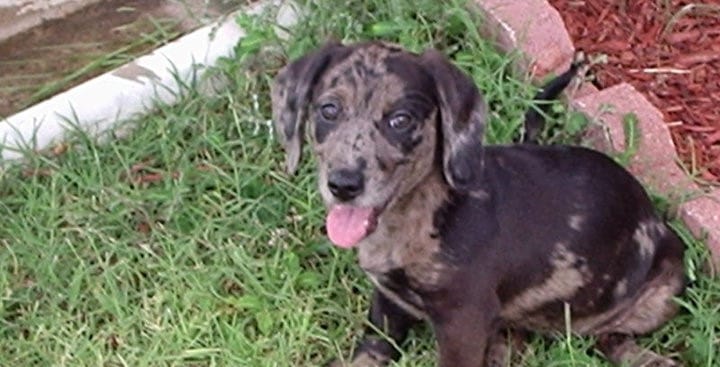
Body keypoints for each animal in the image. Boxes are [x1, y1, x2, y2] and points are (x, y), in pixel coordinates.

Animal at [270, 41, 688, 367]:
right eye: (328, 110)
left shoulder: (462, 321)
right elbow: (372, 349)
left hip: (666, 286)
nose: (343, 185)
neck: (422, 213)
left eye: (400, 120)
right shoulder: (388, 300)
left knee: (611, 337)